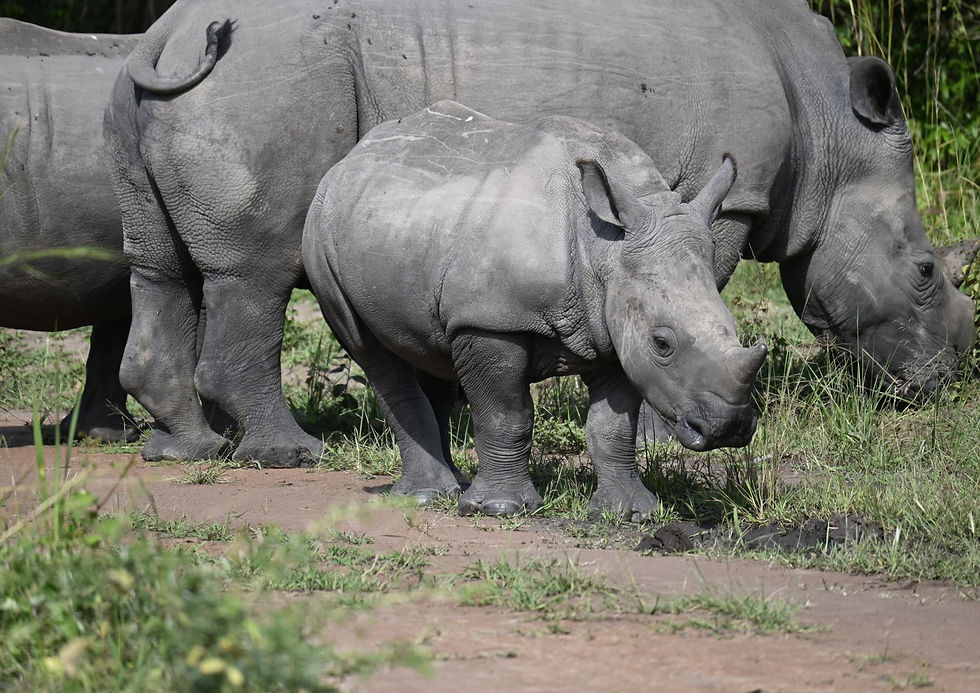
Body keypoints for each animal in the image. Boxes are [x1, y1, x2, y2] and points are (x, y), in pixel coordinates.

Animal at [104, 0, 975, 471]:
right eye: (925, 272)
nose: (940, 384)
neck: (829, 130)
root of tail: (168, 30)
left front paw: (451, 404)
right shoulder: (729, 196)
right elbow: (697, 293)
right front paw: (665, 432)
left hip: (158, 94)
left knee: (159, 268)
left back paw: (187, 449)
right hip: (266, 77)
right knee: (258, 269)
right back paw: (291, 452)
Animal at [302, 101, 766, 516]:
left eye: (733, 329)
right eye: (663, 344)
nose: (729, 427)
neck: (603, 245)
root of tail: (352, 156)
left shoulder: (615, 323)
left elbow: (613, 426)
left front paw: (630, 513)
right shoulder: (491, 320)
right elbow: (507, 415)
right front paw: (500, 508)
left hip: (401, 224)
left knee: (428, 344)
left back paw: (451, 486)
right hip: (320, 229)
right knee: (369, 349)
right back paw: (426, 498)